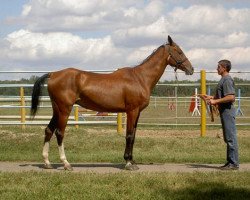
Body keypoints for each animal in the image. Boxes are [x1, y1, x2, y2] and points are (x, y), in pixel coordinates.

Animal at [30, 36, 193, 170]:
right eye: (179, 51)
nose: (191, 69)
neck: (140, 78)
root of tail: (53, 74)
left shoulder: (137, 113)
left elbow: (134, 135)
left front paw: (132, 160)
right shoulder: (132, 111)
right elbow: (129, 135)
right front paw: (128, 163)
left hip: (57, 109)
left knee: (48, 130)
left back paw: (47, 163)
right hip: (64, 109)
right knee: (59, 133)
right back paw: (66, 163)